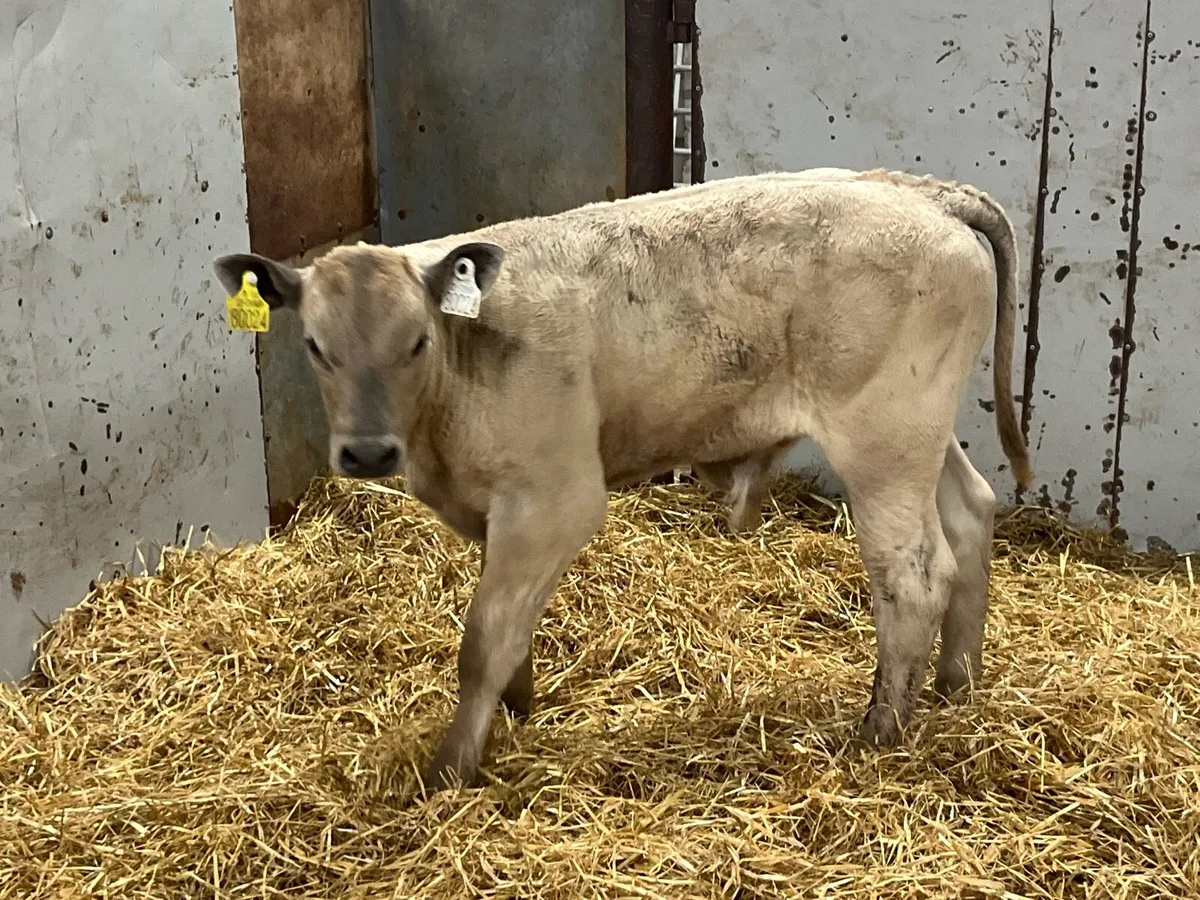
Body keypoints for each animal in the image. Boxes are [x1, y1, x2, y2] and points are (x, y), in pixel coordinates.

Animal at [214, 167, 1032, 791]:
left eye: (415, 341)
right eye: (315, 346)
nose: (367, 453)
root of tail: (920, 191)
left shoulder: (555, 503)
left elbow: (482, 641)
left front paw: (451, 771)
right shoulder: (497, 511)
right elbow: (507, 628)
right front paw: (517, 705)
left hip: (881, 440)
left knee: (913, 576)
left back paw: (878, 732)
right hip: (921, 434)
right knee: (971, 514)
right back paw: (957, 685)